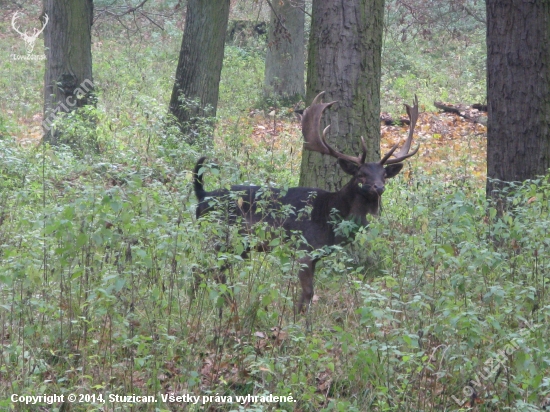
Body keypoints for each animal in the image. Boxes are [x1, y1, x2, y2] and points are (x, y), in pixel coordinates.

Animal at [196, 92, 420, 312]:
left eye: (384, 175)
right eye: (361, 174)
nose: (378, 188)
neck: (330, 216)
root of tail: (202, 196)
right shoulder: (304, 248)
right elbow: (308, 292)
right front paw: (297, 318)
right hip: (220, 237)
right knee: (205, 269)